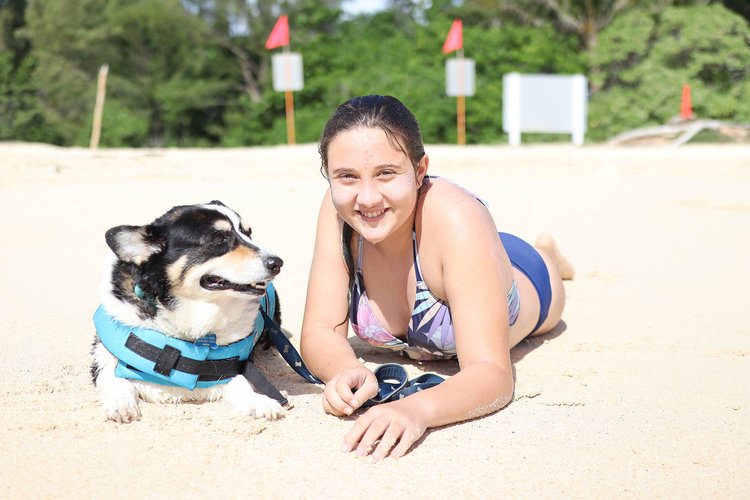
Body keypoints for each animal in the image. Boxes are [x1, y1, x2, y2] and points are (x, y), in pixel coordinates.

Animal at [89, 199, 288, 422]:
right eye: (219, 240)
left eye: (249, 234)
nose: (278, 263)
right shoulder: (102, 355)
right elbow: (113, 376)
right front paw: (120, 404)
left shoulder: (232, 366)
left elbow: (241, 382)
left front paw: (260, 402)